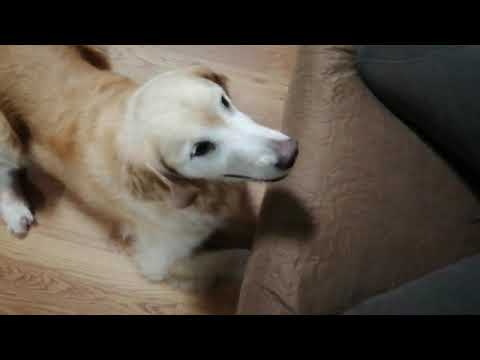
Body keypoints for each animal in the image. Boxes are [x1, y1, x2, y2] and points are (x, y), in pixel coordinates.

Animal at [0, 46, 298, 290]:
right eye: (201, 149)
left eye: (224, 101)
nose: (291, 153)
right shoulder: (159, 262)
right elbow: (232, 257)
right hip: (9, 139)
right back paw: (16, 211)